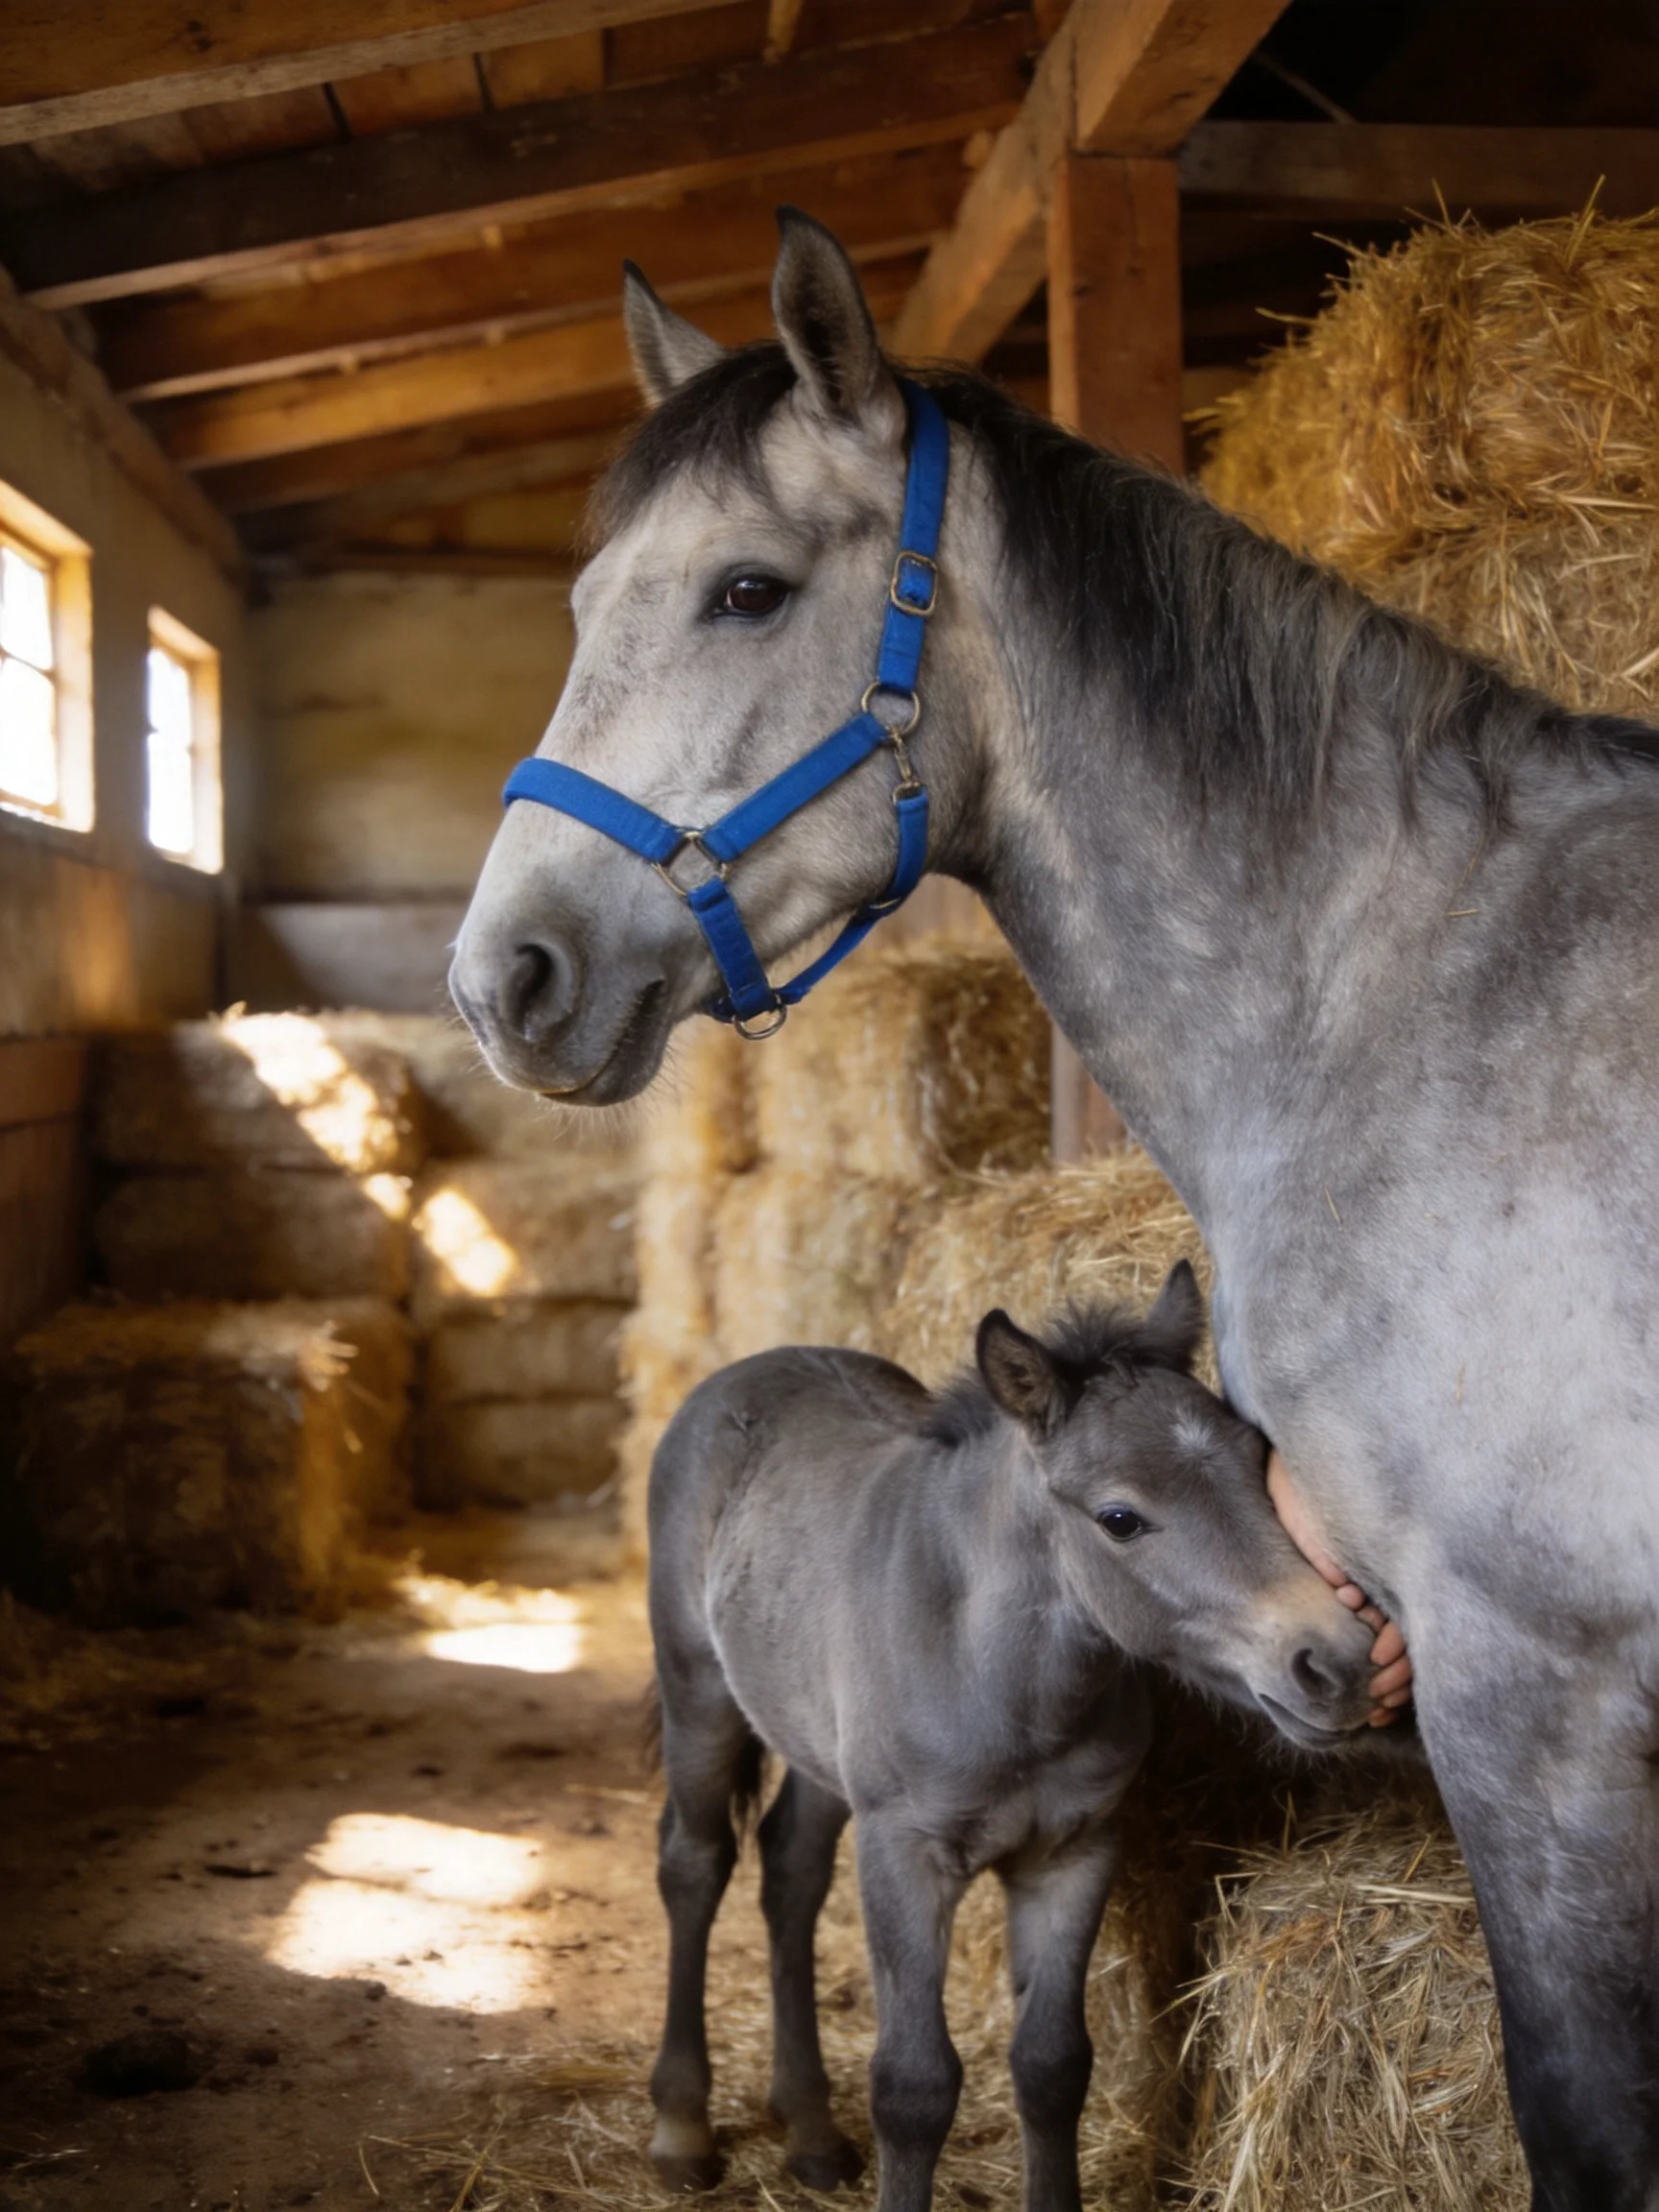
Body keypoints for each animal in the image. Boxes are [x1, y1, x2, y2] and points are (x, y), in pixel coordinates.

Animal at [647, 1263, 1376, 2212]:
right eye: (1119, 1518)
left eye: (1259, 1464)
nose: (1339, 1661)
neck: (1005, 1684)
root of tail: (751, 1367)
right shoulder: (906, 1855)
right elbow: (913, 2086)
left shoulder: (1074, 1852)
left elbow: (1053, 2065)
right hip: (698, 1693)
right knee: (695, 1864)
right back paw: (682, 2131)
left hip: (817, 1745)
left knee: (791, 1868)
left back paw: (810, 2133)